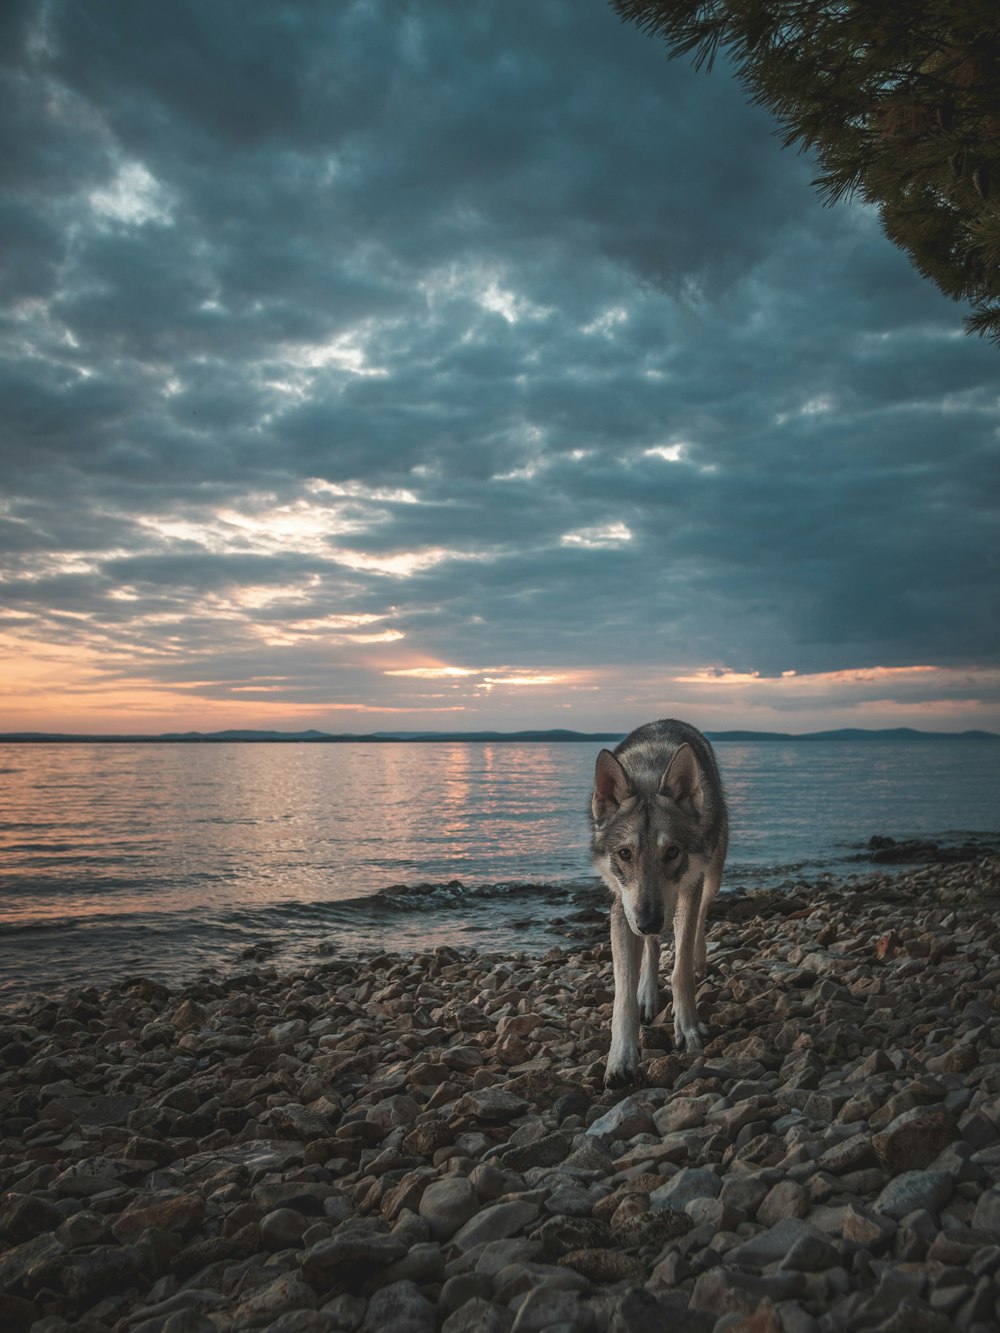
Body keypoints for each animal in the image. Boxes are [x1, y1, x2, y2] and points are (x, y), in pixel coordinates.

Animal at [594, 719, 730, 1082]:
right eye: (625, 854)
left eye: (671, 852)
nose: (649, 922)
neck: (650, 773)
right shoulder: (623, 909)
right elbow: (623, 995)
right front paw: (620, 1058)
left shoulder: (690, 888)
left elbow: (680, 969)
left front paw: (688, 1028)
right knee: (652, 948)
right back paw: (647, 994)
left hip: (711, 880)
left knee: (700, 922)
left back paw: (699, 960)